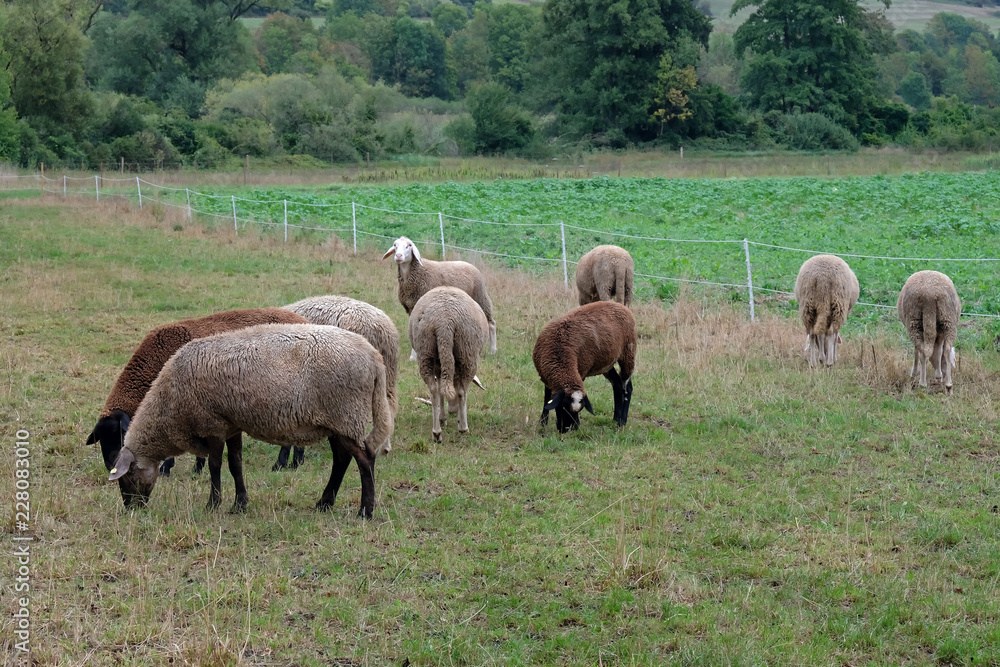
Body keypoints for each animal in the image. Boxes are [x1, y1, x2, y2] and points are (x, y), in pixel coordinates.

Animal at [88, 308, 310, 506]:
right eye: (101, 438)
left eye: (119, 434)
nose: (111, 466)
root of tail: (302, 319)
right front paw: (197, 467)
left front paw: (169, 467)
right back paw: (296, 462)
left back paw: (282, 463)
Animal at [106, 322, 394, 516]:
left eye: (126, 478)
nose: (131, 508)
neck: (169, 405)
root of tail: (374, 357)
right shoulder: (231, 425)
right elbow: (236, 465)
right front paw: (239, 504)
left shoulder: (212, 423)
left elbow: (215, 466)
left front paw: (213, 504)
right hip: (336, 420)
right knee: (342, 459)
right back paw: (324, 503)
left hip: (346, 413)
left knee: (365, 459)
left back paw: (365, 511)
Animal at [408, 288, 490, 444]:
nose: (452, 411)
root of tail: (444, 321)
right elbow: (457, 391)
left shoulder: (439, 367)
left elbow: (441, 389)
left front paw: (443, 418)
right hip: (467, 351)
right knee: (462, 391)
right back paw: (463, 428)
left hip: (426, 351)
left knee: (433, 390)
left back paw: (436, 432)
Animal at [528, 302, 636, 434]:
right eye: (561, 407)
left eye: (579, 411)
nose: (567, 429)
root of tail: (619, 305)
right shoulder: (546, 377)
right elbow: (547, 399)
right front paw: (543, 423)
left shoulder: (581, 372)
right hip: (607, 364)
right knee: (617, 384)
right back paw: (615, 419)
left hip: (628, 352)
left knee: (627, 387)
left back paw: (622, 421)